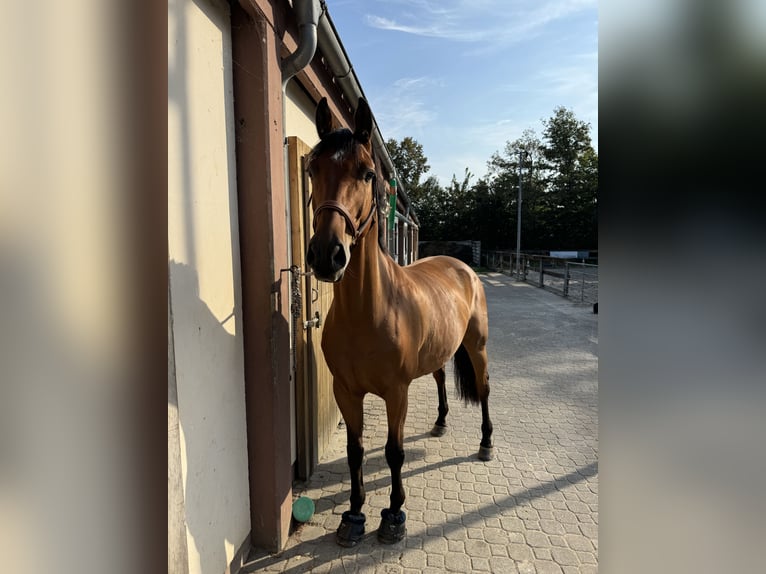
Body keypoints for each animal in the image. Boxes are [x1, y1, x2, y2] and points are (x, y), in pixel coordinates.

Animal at [305, 96, 493, 547]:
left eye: (367, 172)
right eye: (312, 169)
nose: (327, 254)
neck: (368, 312)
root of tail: (463, 266)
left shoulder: (396, 392)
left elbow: (394, 452)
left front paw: (393, 514)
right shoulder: (346, 391)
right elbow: (355, 452)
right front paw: (354, 515)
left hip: (477, 346)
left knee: (484, 388)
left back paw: (485, 444)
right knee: (441, 378)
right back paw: (440, 423)